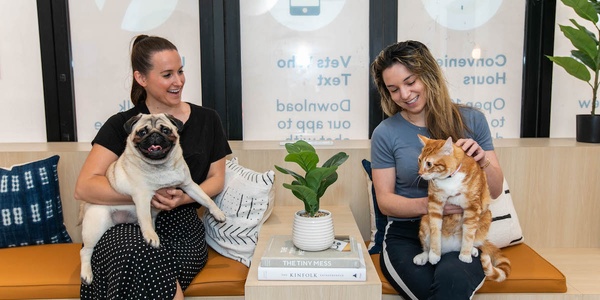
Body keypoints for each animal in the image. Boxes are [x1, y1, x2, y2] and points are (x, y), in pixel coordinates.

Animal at [79, 112, 227, 284]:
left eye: (165, 130)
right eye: (142, 132)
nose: (155, 135)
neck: (160, 166)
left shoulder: (189, 185)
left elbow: (206, 198)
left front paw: (217, 212)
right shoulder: (142, 196)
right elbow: (145, 219)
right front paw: (151, 237)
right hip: (97, 223)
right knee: (85, 251)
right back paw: (87, 274)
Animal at [412, 135, 510, 282]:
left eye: (428, 164)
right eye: (419, 160)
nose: (420, 173)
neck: (449, 178)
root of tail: (450, 248)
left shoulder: (473, 207)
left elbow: (469, 234)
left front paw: (465, 254)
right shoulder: (434, 204)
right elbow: (435, 231)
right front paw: (434, 254)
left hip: (487, 215)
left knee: (476, 239)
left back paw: (472, 250)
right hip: (424, 219)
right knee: (426, 246)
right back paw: (425, 255)